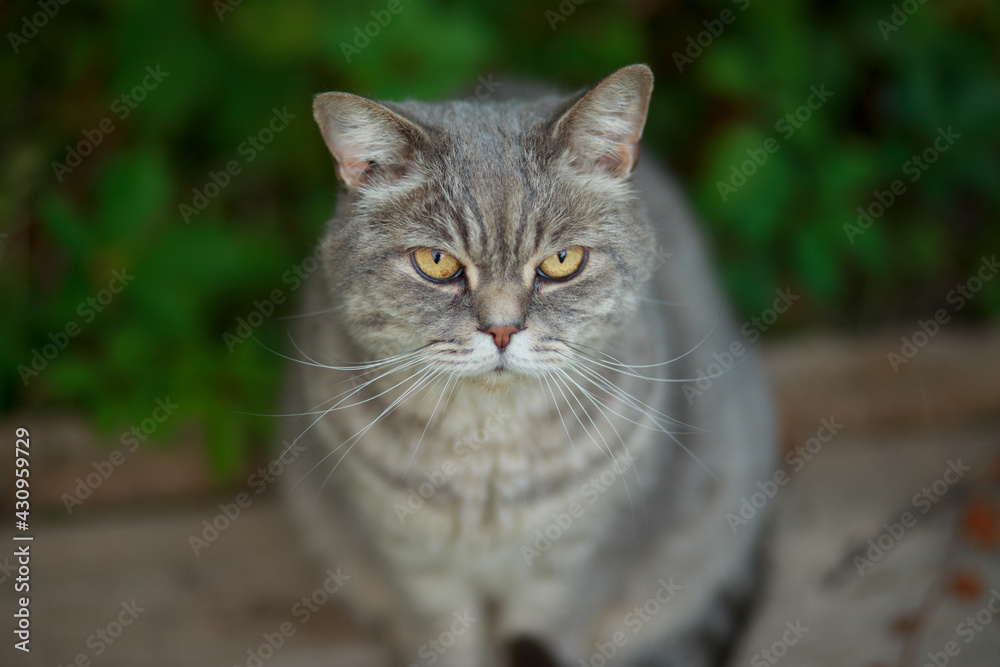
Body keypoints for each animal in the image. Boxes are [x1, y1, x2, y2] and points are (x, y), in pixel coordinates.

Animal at [278, 64, 776, 667]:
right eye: (436, 262)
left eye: (561, 262)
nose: (501, 330)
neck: (488, 454)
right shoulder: (417, 571)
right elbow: (448, 646)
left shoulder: (573, 569)